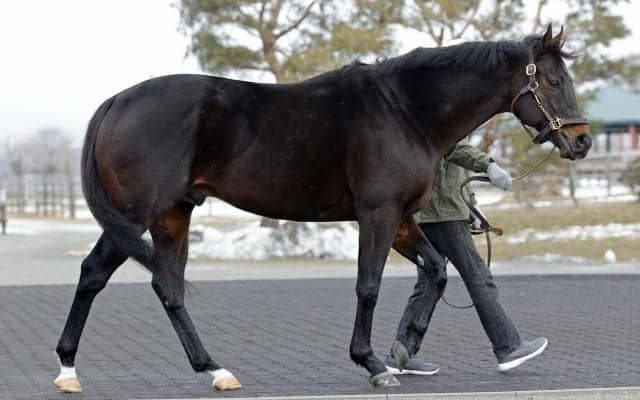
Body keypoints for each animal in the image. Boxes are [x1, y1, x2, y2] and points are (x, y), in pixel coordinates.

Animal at [54, 24, 590, 393]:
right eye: (551, 80)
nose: (582, 140)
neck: (403, 111)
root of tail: (116, 102)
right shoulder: (377, 214)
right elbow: (368, 286)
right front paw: (373, 363)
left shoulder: (402, 220)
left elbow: (437, 272)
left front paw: (404, 350)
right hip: (134, 215)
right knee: (95, 274)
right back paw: (67, 370)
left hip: (172, 215)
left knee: (166, 287)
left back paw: (214, 370)